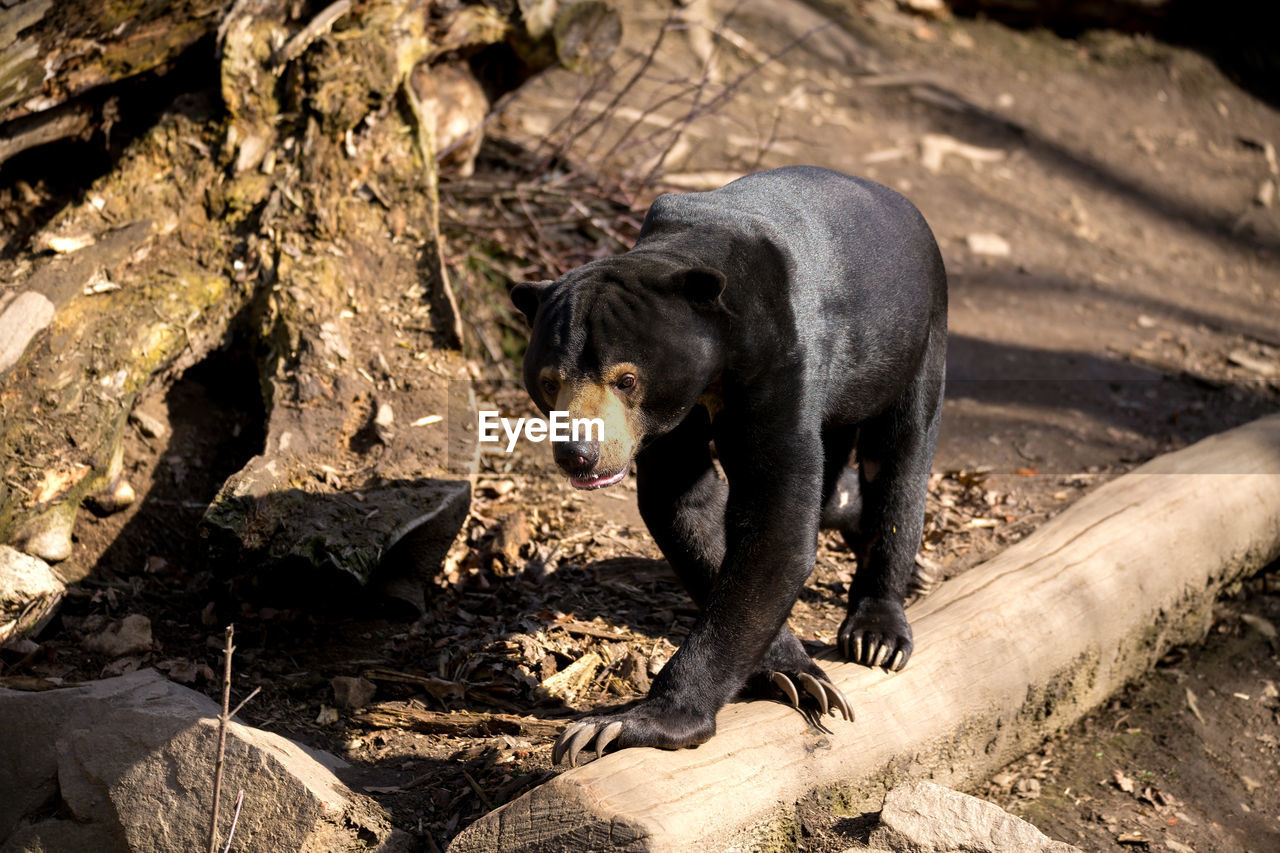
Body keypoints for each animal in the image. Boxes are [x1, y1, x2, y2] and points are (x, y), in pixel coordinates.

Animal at [506, 163, 942, 763]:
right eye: (549, 382)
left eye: (627, 378)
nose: (579, 453)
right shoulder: (664, 422)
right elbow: (686, 505)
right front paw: (791, 674)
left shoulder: (779, 360)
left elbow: (774, 524)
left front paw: (624, 724)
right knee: (835, 481)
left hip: (917, 337)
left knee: (899, 461)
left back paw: (877, 632)